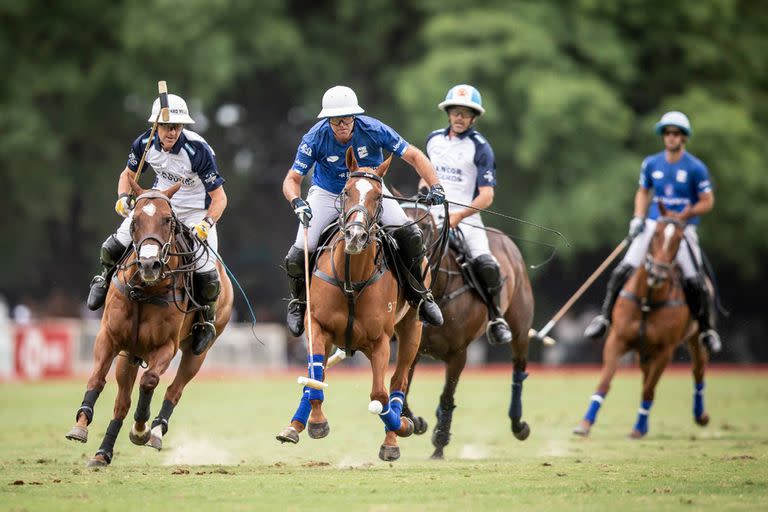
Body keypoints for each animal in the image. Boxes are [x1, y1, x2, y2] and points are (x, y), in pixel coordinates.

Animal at [65, 182, 234, 466]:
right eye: (134, 220)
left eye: (167, 220)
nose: (148, 265)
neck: (144, 290)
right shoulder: (109, 337)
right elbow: (97, 378)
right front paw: (81, 425)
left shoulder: (166, 345)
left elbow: (150, 381)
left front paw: (141, 429)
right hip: (129, 355)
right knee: (121, 402)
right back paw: (103, 453)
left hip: (197, 351)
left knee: (175, 389)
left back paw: (156, 431)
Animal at [274, 147, 424, 460]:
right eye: (345, 191)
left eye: (378, 196)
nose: (355, 235)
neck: (350, 280)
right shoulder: (317, 326)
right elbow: (314, 380)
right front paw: (316, 423)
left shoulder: (380, 340)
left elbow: (379, 395)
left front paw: (399, 429)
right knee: (314, 376)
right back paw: (293, 426)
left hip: (412, 328)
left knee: (398, 382)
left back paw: (395, 433)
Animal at [402, 202, 536, 458]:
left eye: (427, 225)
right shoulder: (411, 349)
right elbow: (403, 390)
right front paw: (418, 423)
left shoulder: (459, 353)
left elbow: (447, 396)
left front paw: (439, 445)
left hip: (521, 326)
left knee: (518, 368)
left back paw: (519, 425)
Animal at [572, 206, 712, 438]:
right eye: (655, 235)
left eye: (679, 240)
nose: (657, 273)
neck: (648, 299)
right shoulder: (617, 340)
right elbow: (605, 382)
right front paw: (584, 425)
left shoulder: (665, 350)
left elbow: (649, 389)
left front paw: (637, 429)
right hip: (645, 350)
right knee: (647, 375)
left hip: (693, 338)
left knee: (697, 370)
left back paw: (700, 416)